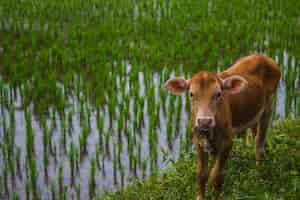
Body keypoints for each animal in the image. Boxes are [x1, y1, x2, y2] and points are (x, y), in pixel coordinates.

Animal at [164, 54, 282, 199]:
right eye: (191, 94)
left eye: (218, 94)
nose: (204, 121)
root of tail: (262, 56)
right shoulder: (198, 142)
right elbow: (201, 175)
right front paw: (200, 196)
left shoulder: (227, 142)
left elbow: (216, 176)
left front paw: (216, 195)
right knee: (255, 136)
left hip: (268, 107)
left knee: (259, 142)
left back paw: (260, 171)